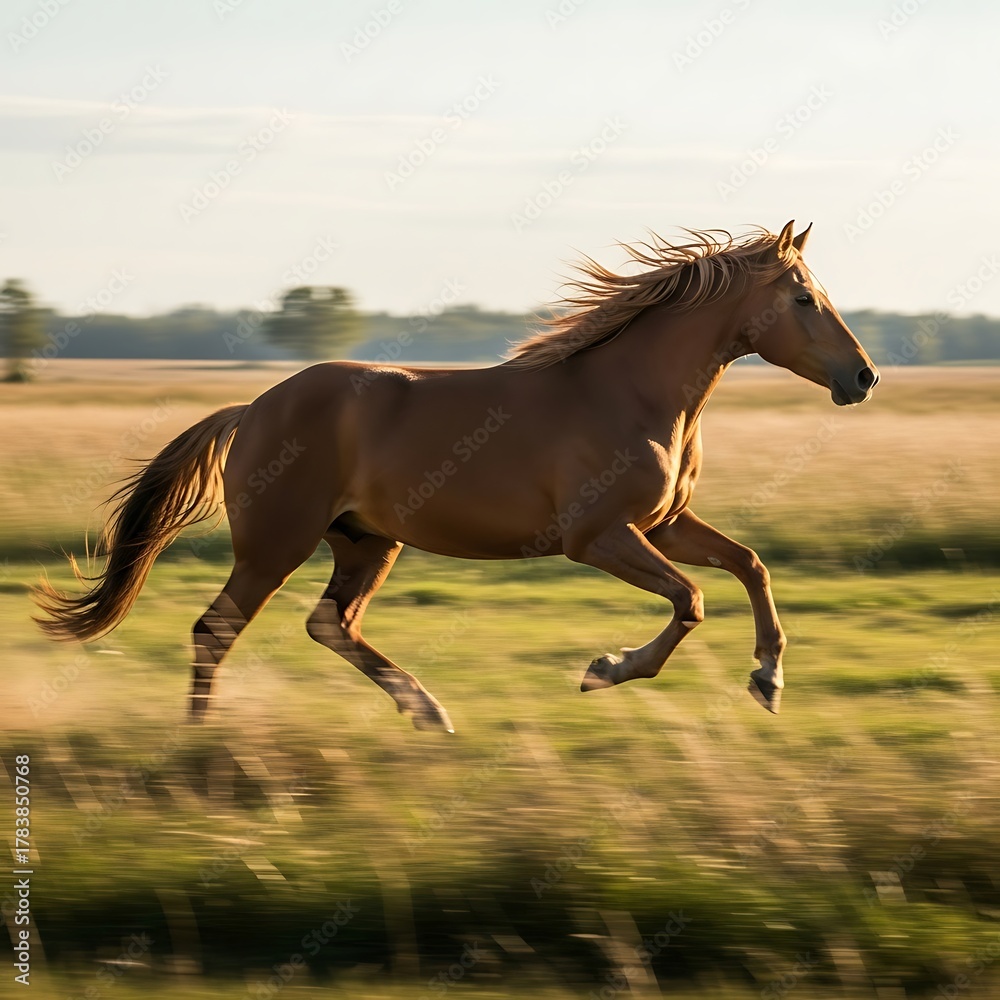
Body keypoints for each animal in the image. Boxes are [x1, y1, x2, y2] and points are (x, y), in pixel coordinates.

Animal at [34, 221, 879, 728]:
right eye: (805, 298)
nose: (863, 377)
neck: (631, 394)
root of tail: (254, 409)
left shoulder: (664, 524)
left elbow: (749, 565)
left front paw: (767, 679)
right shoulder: (599, 537)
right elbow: (692, 599)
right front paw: (606, 669)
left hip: (366, 541)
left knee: (329, 623)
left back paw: (427, 712)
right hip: (276, 543)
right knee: (218, 629)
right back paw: (203, 740)